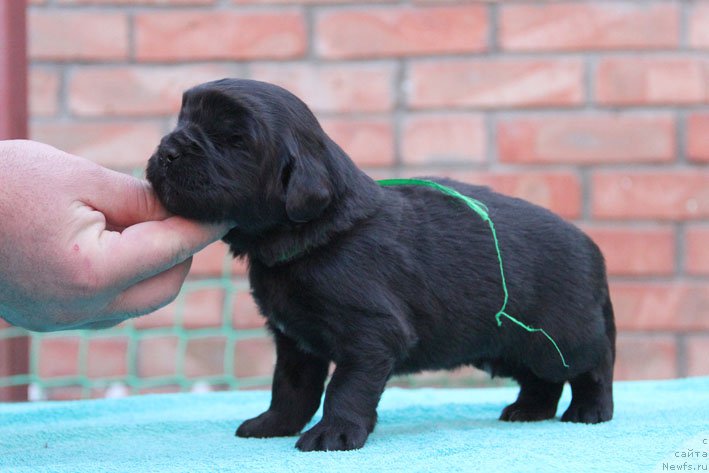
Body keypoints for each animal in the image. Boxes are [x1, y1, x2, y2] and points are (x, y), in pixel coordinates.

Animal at [145, 79, 612, 452]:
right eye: (184, 119)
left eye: (233, 139)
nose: (168, 150)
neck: (315, 237)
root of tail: (591, 245)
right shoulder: (295, 340)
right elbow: (291, 387)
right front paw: (273, 424)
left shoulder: (370, 333)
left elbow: (345, 388)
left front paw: (333, 434)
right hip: (511, 343)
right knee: (542, 377)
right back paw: (529, 410)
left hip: (564, 334)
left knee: (594, 363)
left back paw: (590, 412)